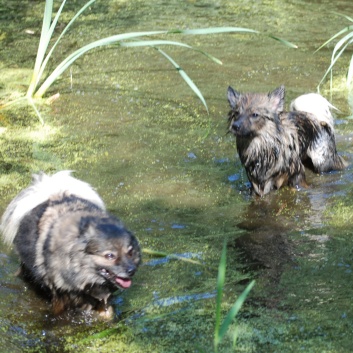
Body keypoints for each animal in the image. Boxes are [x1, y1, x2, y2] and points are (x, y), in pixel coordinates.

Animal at [0, 170, 140, 316]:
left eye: (130, 252)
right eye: (110, 256)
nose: (131, 270)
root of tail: (53, 194)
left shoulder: (102, 298)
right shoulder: (60, 297)